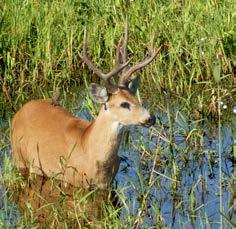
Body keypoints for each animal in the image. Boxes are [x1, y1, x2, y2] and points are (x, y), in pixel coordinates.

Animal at [10, 21, 160, 190]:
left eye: (136, 99)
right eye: (124, 104)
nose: (151, 118)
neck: (90, 150)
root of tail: (20, 111)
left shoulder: (107, 185)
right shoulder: (71, 179)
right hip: (19, 157)